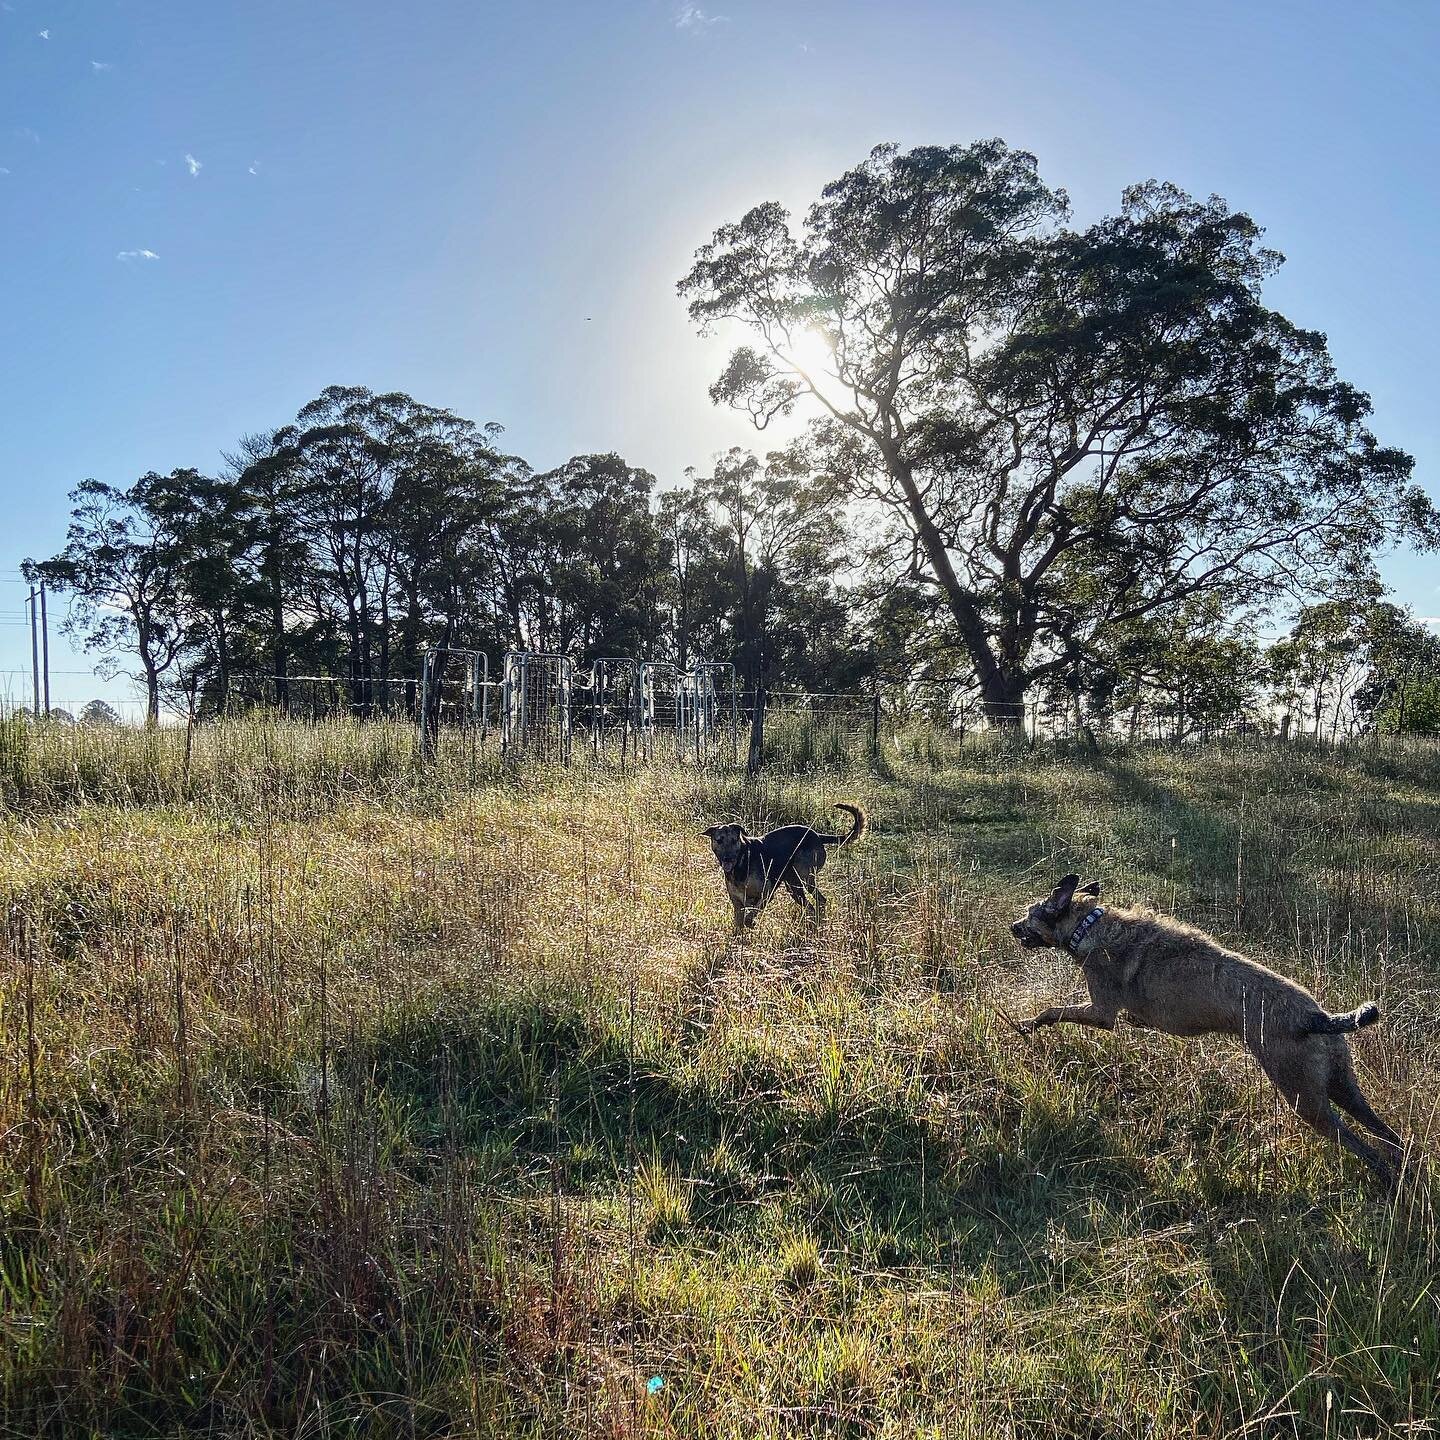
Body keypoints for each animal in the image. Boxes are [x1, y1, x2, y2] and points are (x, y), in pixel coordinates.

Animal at [699, 800, 864, 933]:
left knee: (820, 901)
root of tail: (817, 835)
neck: (741, 863)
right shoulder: (737, 904)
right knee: (812, 906)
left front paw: (751, 923)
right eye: (719, 840)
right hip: (794, 888)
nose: (728, 858)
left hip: (804, 879)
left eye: (734, 841)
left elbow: (750, 915)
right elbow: (740, 923)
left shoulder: (766, 893)